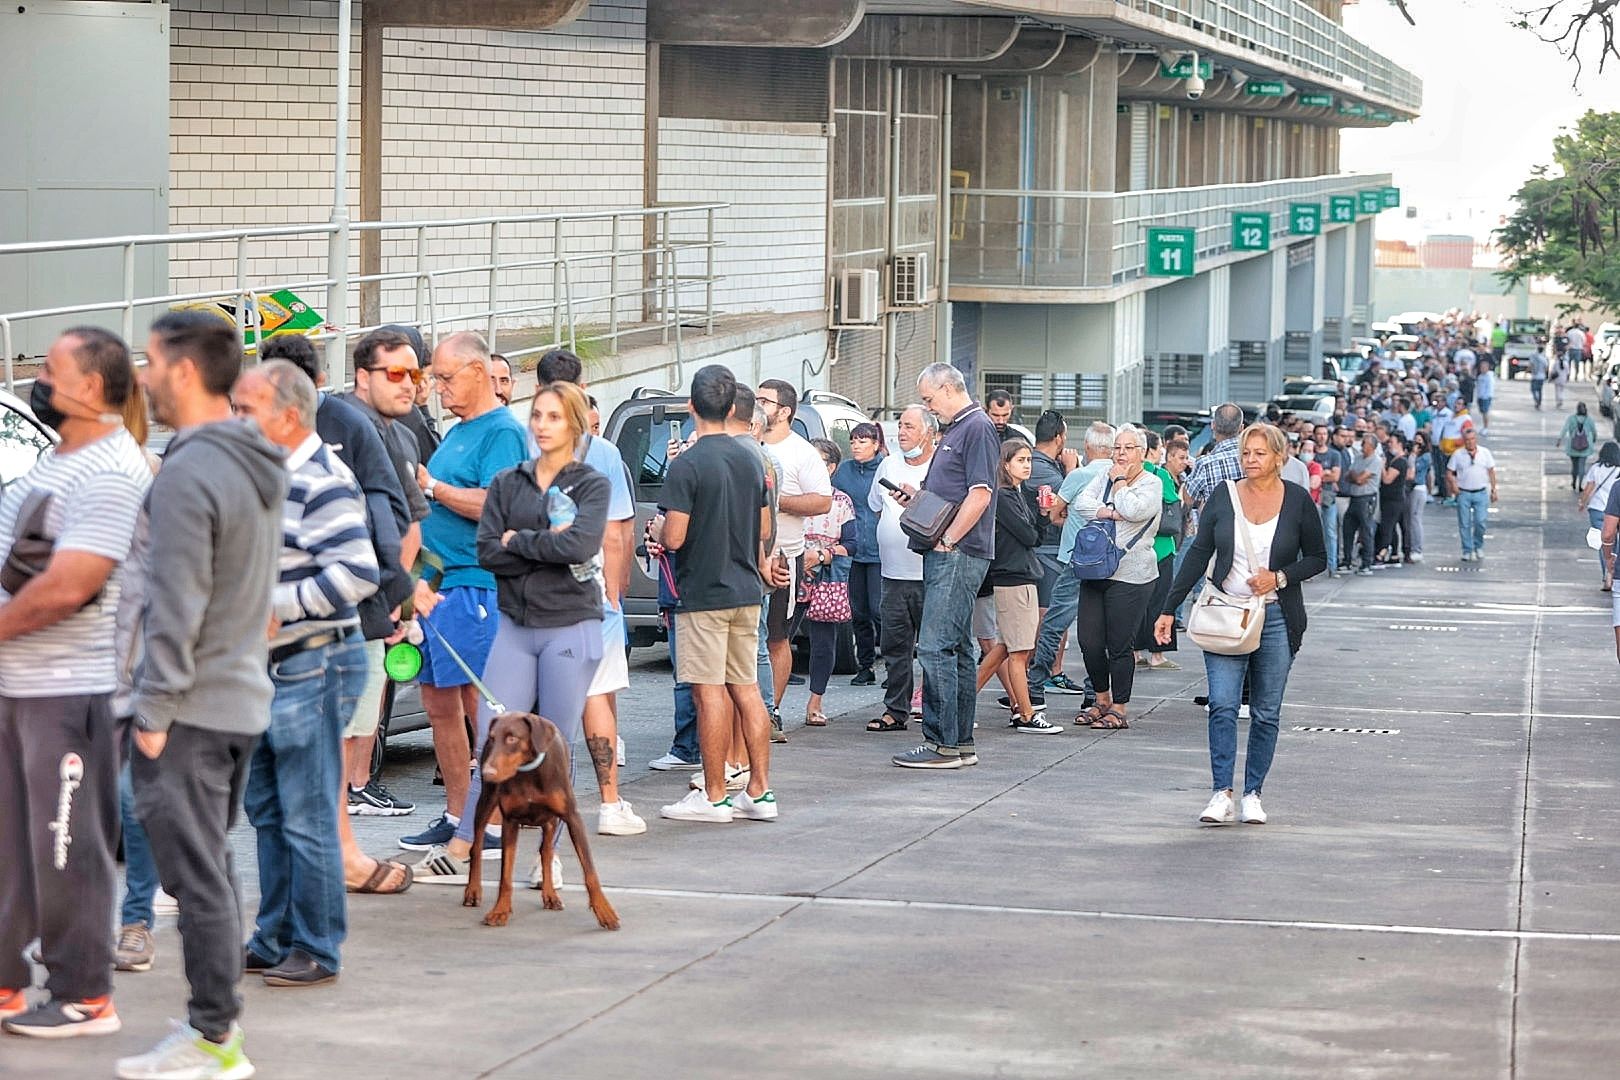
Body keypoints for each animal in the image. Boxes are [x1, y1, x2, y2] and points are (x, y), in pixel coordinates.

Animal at [469, 712, 625, 932]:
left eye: (512, 738)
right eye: (492, 738)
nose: (487, 773)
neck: (528, 772)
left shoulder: (573, 818)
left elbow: (590, 872)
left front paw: (604, 911)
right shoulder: (510, 821)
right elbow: (505, 876)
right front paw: (500, 911)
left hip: (551, 821)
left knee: (546, 852)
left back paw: (550, 895)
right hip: (486, 799)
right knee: (476, 846)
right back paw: (472, 891)